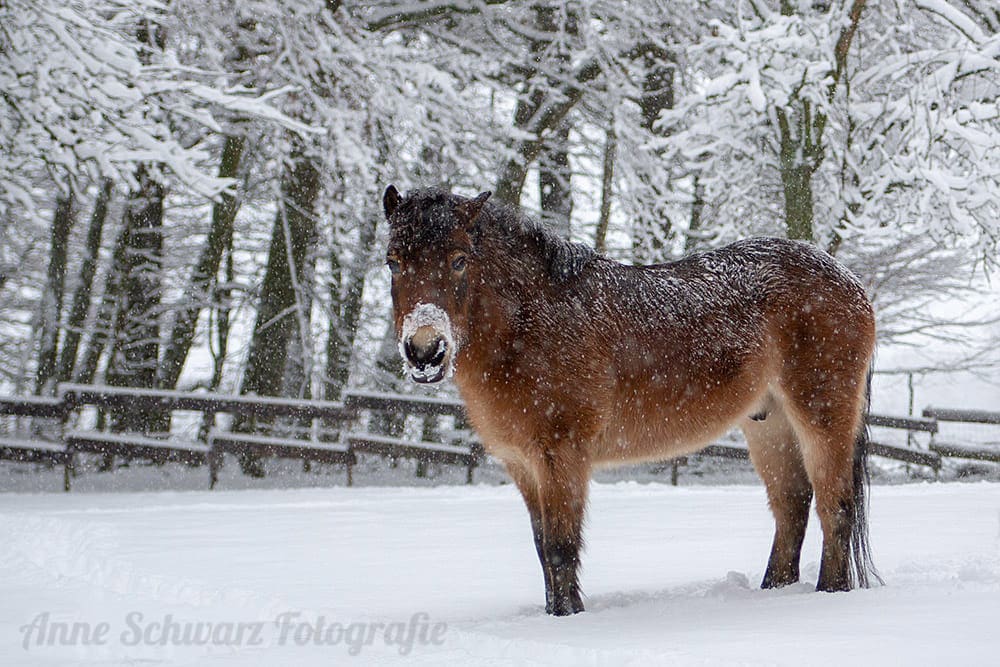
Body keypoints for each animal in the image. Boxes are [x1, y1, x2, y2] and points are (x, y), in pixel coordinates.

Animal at [382, 185, 879, 616]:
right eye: (393, 262)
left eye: (459, 259)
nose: (425, 351)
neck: (532, 325)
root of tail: (849, 281)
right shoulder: (522, 465)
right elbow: (543, 550)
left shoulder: (562, 456)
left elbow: (561, 549)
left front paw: (569, 619)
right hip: (769, 425)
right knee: (792, 507)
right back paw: (774, 593)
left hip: (821, 417)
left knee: (835, 505)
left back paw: (829, 594)